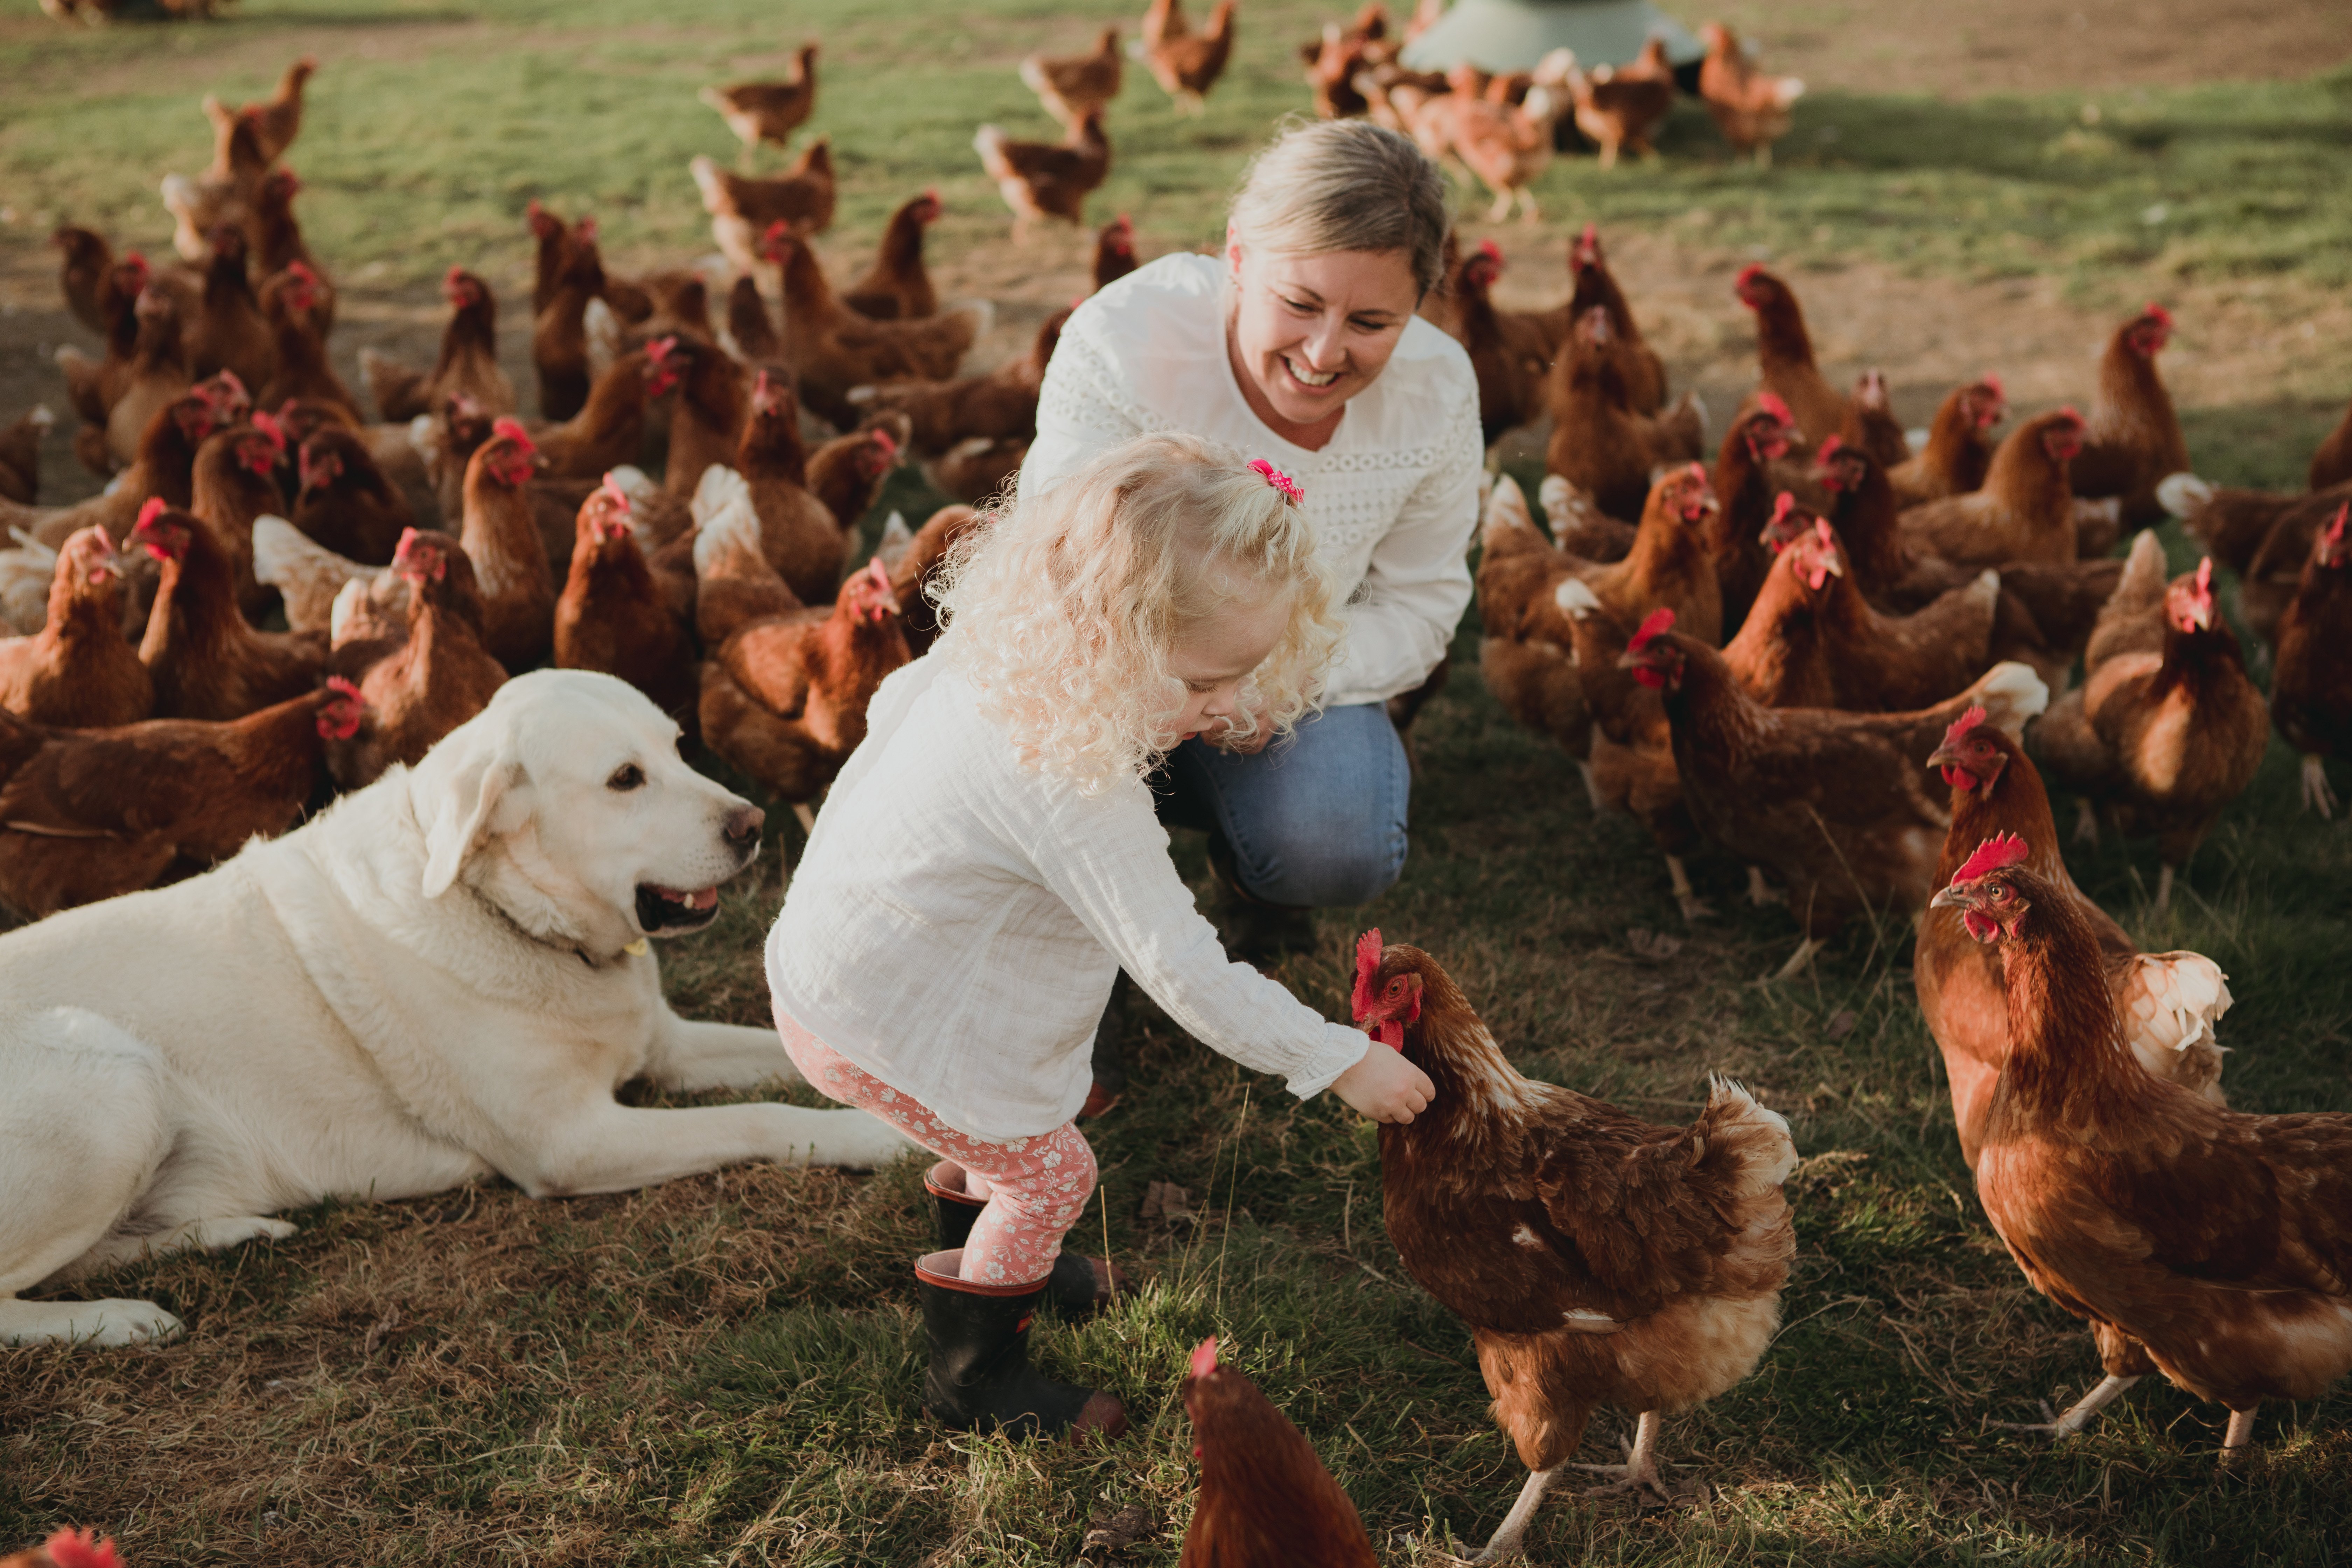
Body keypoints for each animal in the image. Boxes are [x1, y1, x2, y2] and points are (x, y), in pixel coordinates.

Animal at [0, 667, 912, 1344]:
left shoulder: (670, 1046)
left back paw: (229, 1234)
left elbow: (794, 1061)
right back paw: (115, 1320)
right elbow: (762, 1115)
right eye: (625, 779)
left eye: (680, 748)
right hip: (114, 1078)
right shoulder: (576, 1142)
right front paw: (875, 1137)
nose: (752, 825)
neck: (507, 910)